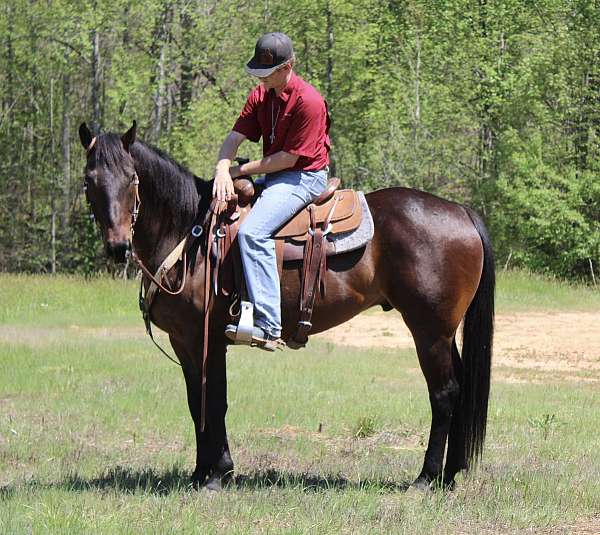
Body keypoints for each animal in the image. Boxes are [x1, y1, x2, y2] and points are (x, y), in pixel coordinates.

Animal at [77, 122, 494, 494]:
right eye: (89, 180)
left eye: (131, 178)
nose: (117, 247)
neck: (189, 234)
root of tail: (461, 211)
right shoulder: (185, 342)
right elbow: (198, 403)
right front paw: (200, 473)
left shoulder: (208, 340)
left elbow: (215, 401)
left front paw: (218, 474)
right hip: (442, 333)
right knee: (460, 389)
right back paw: (450, 474)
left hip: (428, 331)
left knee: (444, 393)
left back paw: (426, 478)